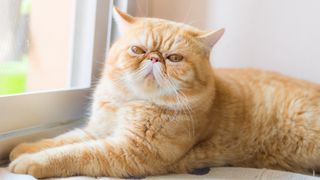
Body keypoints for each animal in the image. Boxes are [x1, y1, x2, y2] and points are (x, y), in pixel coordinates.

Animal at [8, 7, 320, 179]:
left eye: (174, 58)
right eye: (138, 50)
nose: (154, 58)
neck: (130, 102)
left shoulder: (130, 152)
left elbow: (75, 153)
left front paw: (31, 161)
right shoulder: (98, 130)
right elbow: (63, 139)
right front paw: (25, 147)